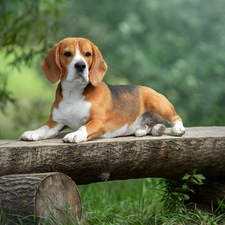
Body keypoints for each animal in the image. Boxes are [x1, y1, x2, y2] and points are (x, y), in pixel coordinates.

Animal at [18, 36, 185, 142]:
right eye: (67, 53)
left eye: (88, 54)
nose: (80, 65)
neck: (74, 92)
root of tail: (150, 89)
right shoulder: (55, 122)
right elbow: (43, 128)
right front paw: (32, 133)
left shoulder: (97, 122)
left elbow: (82, 128)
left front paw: (74, 135)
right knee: (149, 127)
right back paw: (154, 129)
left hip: (159, 104)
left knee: (176, 118)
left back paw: (177, 129)